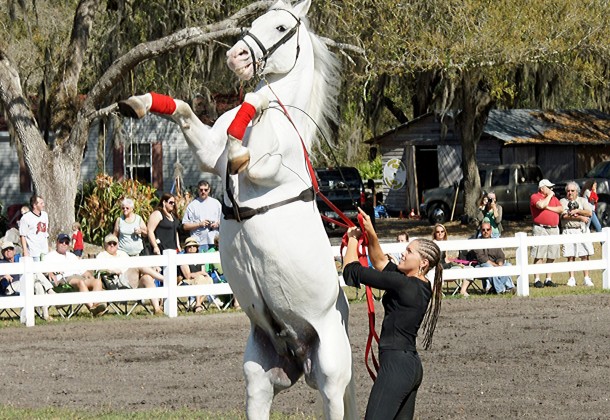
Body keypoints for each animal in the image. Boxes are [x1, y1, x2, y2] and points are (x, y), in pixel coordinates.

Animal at [118, 1, 354, 418]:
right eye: (254, 21)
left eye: (281, 26)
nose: (236, 56)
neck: (276, 121)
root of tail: (298, 352)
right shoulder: (209, 153)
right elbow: (185, 112)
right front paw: (139, 103)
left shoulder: (272, 168)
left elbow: (247, 144)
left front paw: (249, 123)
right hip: (258, 372)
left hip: (331, 372)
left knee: (333, 399)